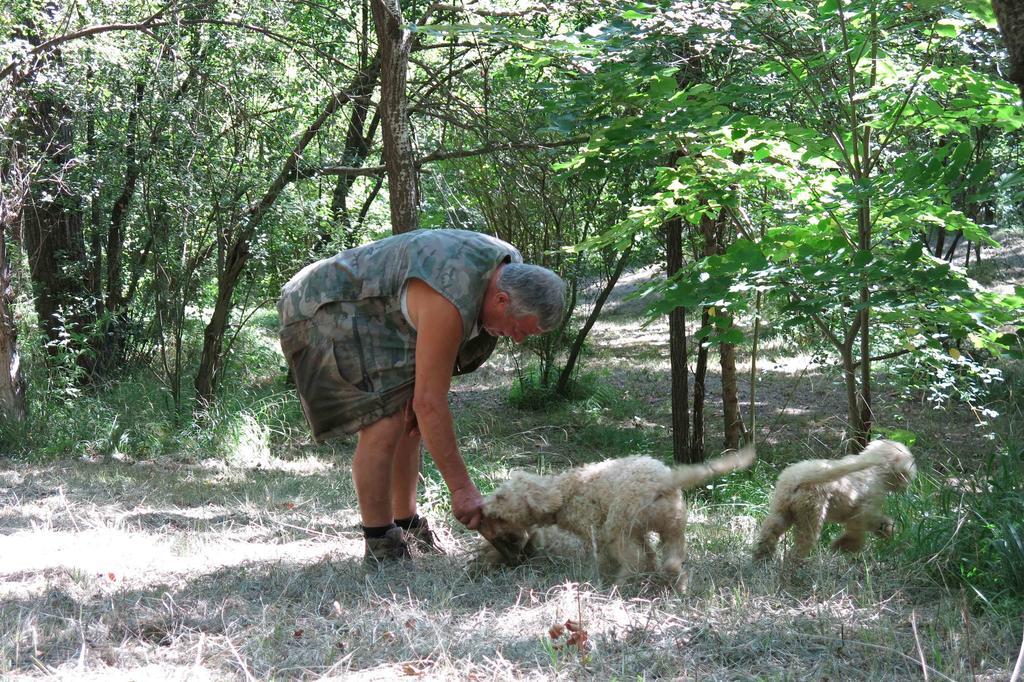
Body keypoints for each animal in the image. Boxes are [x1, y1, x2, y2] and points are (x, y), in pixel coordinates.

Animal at [477, 446, 753, 585]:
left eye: (501, 497)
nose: (482, 507)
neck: (563, 492)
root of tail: (664, 480)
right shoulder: (638, 533)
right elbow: (648, 554)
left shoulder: (596, 532)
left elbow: (606, 557)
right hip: (672, 525)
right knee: (671, 557)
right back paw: (677, 580)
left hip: (618, 526)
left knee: (633, 560)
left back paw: (619, 584)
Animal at [749, 438, 917, 561]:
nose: (908, 483)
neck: (878, 467)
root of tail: (801, 477)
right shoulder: (864, 510)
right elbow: (858, 531)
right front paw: (842, 547)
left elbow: (881, 524)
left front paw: (888, 533)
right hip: (811, 513)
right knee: (804, 542)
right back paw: (796, 564)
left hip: (781, 509)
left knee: (770, 532)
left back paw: (761, 557)